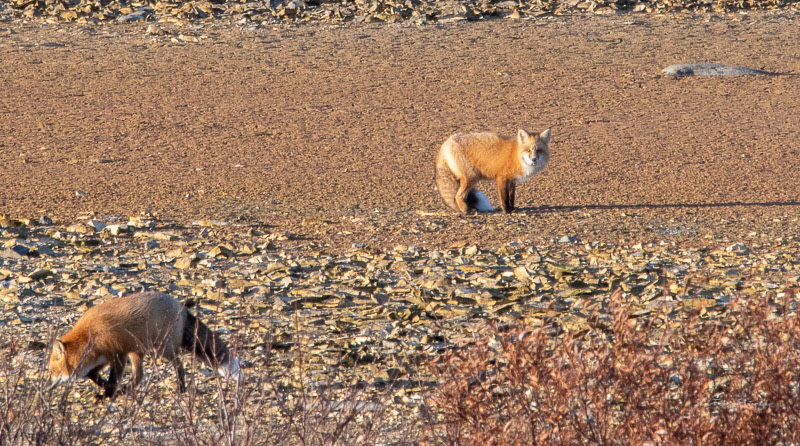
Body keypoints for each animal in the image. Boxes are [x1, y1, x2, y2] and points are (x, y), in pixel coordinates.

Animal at [48, 291, 243, 399]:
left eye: (52, 371)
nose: (47, 387)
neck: (90, 334)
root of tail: (180, 306)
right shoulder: (103, 358)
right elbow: (93, 375)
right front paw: (106, 388)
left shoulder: (118, 354)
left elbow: (112, 379)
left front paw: (108, 393)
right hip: (138, 352)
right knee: (139, 376)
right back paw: (126, 390)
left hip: (162, 349)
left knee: (178, 365)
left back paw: (180, 388)